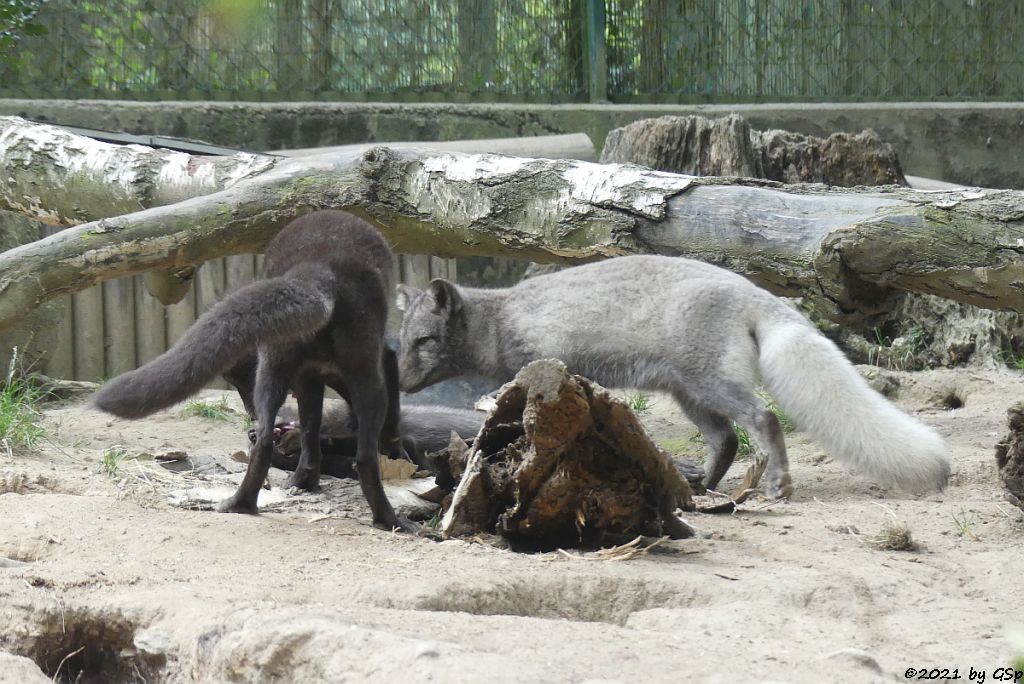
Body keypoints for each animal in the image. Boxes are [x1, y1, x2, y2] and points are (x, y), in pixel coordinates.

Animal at [92, 210, 411, 532]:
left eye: (238, 381)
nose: (249, 417)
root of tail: (318, 271)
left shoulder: (308, 378)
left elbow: (313, 432)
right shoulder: (367, 363)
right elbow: (377, 422)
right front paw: (396, 453)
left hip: (275, 370)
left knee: (268, 444)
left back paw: (241, 502)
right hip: (359, 376)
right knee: (365, 455)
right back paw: (390, 519)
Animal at [393, 254, 950, 497]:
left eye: (425, 341)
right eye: (403, 341)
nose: (398, 383)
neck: (500, 319)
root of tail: (757, 295)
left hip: (711, 387)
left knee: (763, 421)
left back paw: (776, 484)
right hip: (689, 395)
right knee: (726, 441)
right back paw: (700, 488)